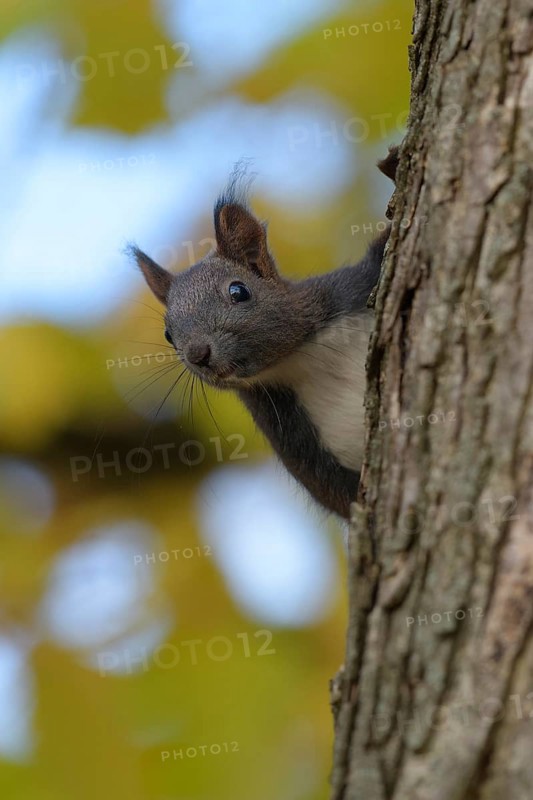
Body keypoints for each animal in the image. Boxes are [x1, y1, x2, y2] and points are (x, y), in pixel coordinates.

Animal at [131, 147, 399, 519]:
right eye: (168, 335)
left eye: (238, 291)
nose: (198, 354)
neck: (302, 356)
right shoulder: (290, 434)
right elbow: (336, 495)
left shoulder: (351, 287)